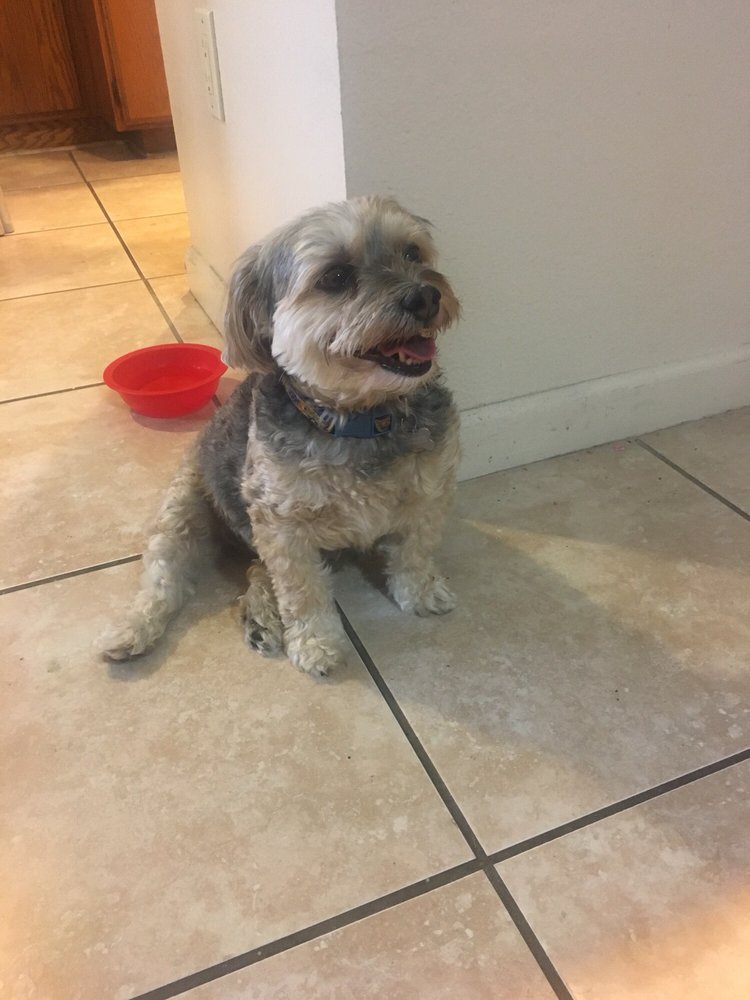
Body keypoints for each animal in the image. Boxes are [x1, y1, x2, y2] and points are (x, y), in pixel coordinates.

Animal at [101, 195, 461, 677]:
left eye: (412, 252)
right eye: (336, 277)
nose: (425, 296)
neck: (359, 419)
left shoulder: (428, 494)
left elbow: (415, 552)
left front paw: (420, 592)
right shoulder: (283, 526)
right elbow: (302, 593)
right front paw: (316, 644)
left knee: (257, 572)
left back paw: (259, 616)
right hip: (182, 512)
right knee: (164, 578)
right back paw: (132, 630)